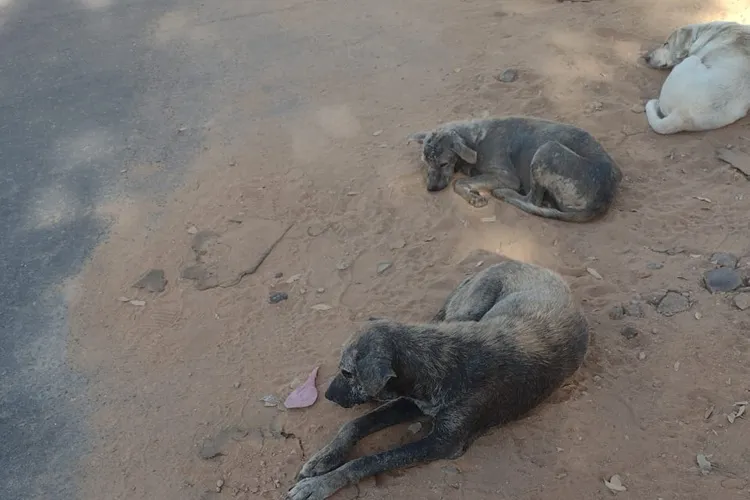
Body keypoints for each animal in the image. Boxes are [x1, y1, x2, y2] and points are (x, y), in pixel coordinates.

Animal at [284, 260, 592, 498]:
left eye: (347, 373)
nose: (327, 395)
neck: (434, 354)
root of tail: (515, 261)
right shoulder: (412, 402)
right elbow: (355, 424)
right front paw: (325, 457)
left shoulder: (442, 443)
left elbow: (368, 460)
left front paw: (320, 485)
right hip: (467, 310)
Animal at [408, 117, 624, 223]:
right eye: (426, 162)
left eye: (443, 164)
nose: (431, 189)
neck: (475, 140)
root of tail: (604, 198)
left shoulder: (506, 176)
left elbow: (458, 181)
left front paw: (474, 197)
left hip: (546, 149)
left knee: (531, 200)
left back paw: (504, 194)